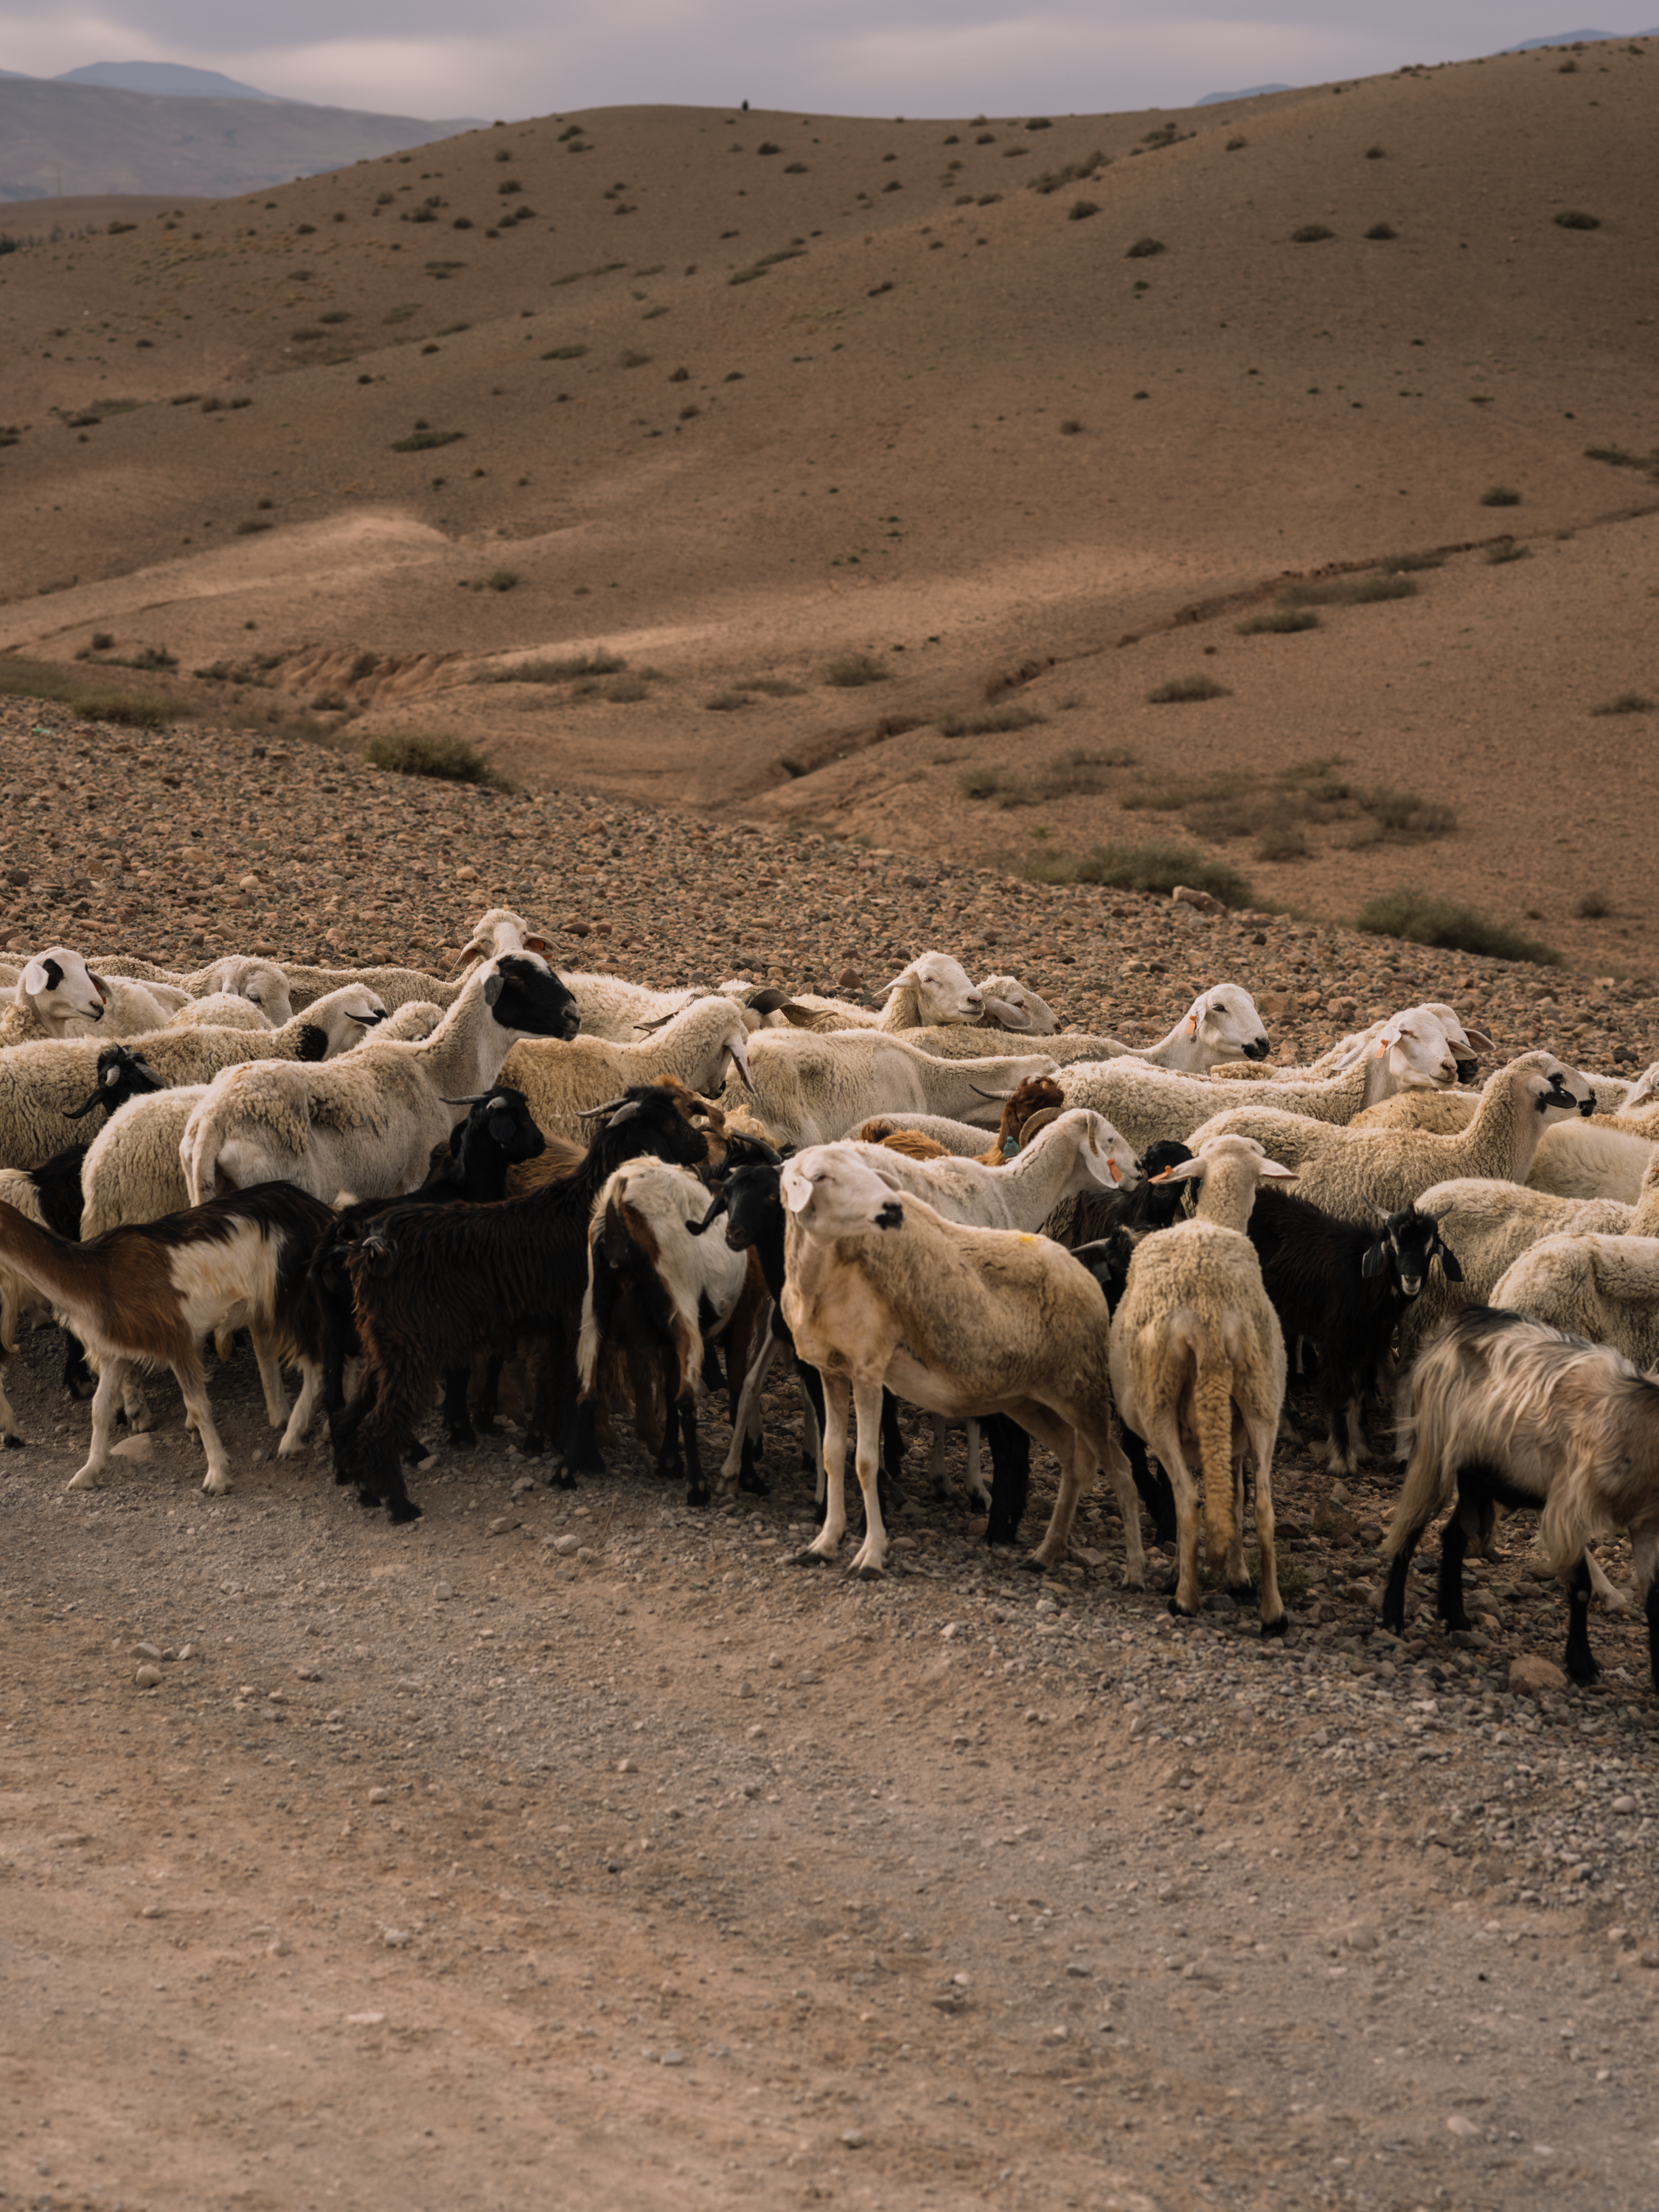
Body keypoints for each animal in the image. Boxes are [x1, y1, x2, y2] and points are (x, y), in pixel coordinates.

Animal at [0, 1182, 336, 1495]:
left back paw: (292, 1439)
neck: (98, 1275)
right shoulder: (115, 1352)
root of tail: (321, 1211)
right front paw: (88, 1472)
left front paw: (218, 1476)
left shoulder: (177, 1339)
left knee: (319, 1362)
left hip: (292, 1297)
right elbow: (99, 1408)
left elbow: (198, 1405)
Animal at [330, 1083, 713, 1521]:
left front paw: (563, 1448)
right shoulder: (577, 1318)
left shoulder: (559, 1328)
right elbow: (577, 1388)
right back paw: (401, 1504)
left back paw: (365, 1489)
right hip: (411, 1347)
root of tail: (371, 1248)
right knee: (379, 1425)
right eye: (665, 1121)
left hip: (384, 1346)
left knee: (350, 1416)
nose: (703, 1145)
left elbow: (561, 1383)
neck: (587, 1205)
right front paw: (586, 1458)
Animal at [779, 1143, 1148, 1581]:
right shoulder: (832, 1370)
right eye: (820, 1177)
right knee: (1073, 1462)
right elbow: (833, 1454)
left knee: (1121, 1470)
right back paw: (1043, 1554)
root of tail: (1082, 1272)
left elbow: (865, 1462)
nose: (891, 1210)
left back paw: (1134, 1573)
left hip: (1081, 1390)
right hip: (1031, 1400)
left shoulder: (869, 1370)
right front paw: (823, 1544)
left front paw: (871, 1555)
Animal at [1107, 1134, 1297, 1630]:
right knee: (1263, 1507)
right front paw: (1238, 1575)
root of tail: (1211, 1321)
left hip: (1159, 1403)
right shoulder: (1230, 1436)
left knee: (1188, 1502)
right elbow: (1234, 1496)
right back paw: (1273, 1612)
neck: (1215, 1220)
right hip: (1260, 1396)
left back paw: (1184, 1598)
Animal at [1380, 1306, 1659, 1691]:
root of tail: (1463, 1320)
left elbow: (1655, 1598)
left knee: (1454, 1535)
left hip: (1478, 1475)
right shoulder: (1568, 1509)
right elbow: (1581, 1587)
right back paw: (1393, 1619)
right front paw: (1581, 1665)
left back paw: (1456, 1617)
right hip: (1434, 1453)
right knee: (1409, 1527)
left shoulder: (1648, 1525)